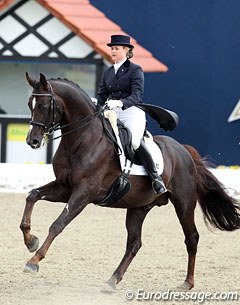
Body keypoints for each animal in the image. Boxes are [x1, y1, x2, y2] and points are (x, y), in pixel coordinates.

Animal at [20, 72, 240, 288]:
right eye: (29, 104)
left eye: (43, 106)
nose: (32, 141)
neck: (82, 139)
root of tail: (184, 150)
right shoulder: (64, 188)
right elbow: (32, 195)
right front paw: (31, 241)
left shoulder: (84, 192)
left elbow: (58, 224)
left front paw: (34, 261)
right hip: (139, 207)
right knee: (134, 243)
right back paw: (112, 280)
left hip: (184, 204)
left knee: (191, 238)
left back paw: (187, 283)